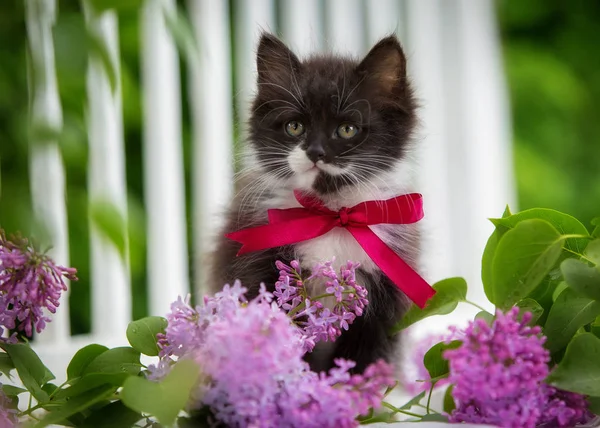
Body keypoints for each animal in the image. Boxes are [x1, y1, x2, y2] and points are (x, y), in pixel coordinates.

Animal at [211, 33, 422, 374]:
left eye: (347, 129)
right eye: (295, 126)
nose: (315, 151)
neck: (332, 213)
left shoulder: (385, 298)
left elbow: (368, 358)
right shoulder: (259, 269)